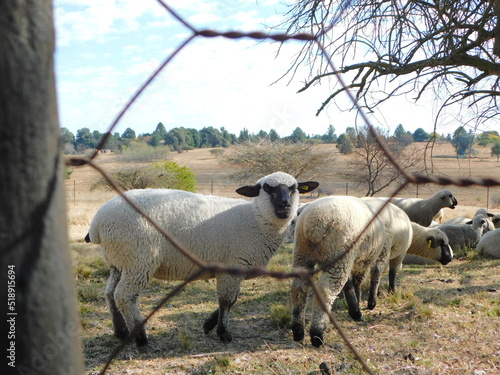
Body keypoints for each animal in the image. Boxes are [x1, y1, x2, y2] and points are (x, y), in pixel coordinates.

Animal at [85, 172, 320, 348]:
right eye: (267, 189)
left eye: (294, 188)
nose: (284, 206)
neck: (256, 218)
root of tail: (97, 223)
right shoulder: (231, 266)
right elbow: (227, 301)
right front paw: (223, 333)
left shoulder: (235, 269)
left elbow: (232, 299)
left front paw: (209, 325)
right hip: (138, 260)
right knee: (124, 296)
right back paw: (141, 338)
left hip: (119, 262)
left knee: (110, 293)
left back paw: (120, 331)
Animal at [290, 195, 386, 348]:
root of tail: (314, 224)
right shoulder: (361, 262)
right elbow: (356, 283)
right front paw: (357, 311)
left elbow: (348, 286)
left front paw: (355, 310)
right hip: (339, 253)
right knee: (326, 291)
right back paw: (317, 334)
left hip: (303, 253)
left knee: (298, 288)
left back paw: (298, 331)